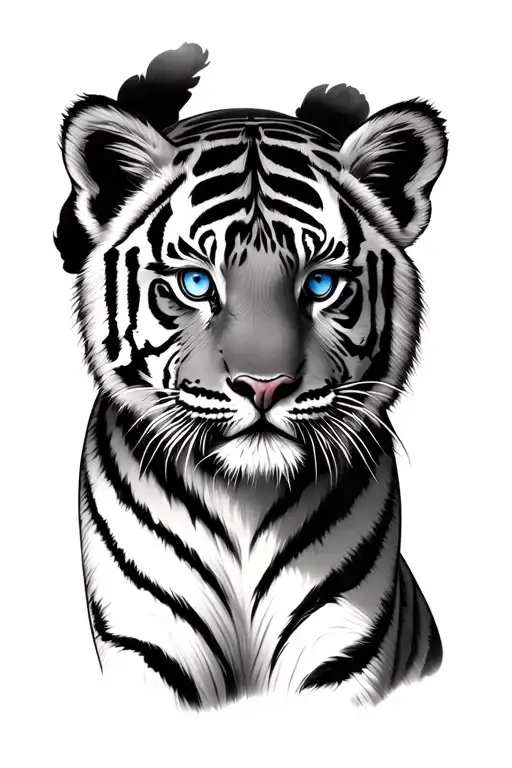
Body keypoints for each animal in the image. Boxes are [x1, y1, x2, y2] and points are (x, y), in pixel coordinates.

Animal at [55, 43, 448, 710]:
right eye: (196, 282)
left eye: (320, 283)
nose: (264, 385)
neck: (245, 501)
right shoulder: (147, 644)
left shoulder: (341, 648)